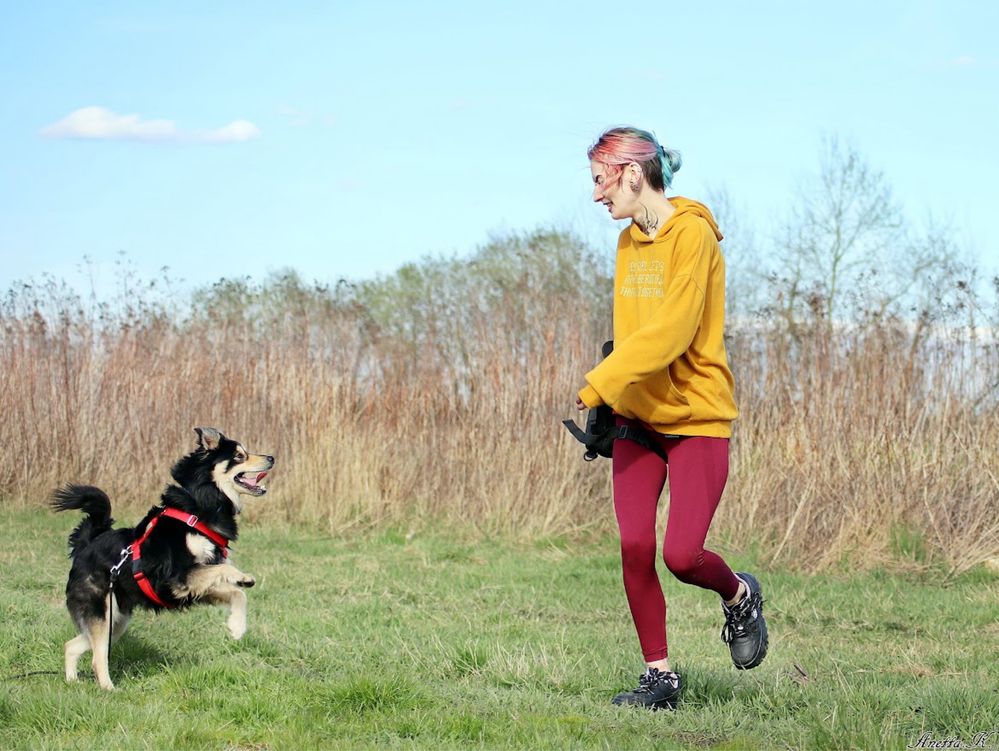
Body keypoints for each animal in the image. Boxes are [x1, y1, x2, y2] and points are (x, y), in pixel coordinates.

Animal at [51, 426, 274, 692]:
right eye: (240, 455)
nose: (272, 457)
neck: (199, 506)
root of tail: (86, 545)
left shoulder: (190, 587)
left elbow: (237, 594)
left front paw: (237, 627)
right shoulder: (178, 576)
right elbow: (225, 570)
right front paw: (243, 577)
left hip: (116, 620)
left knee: (72, 646)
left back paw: (72, 682)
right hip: (101, 612)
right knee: (97, 658)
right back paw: (109, 690)